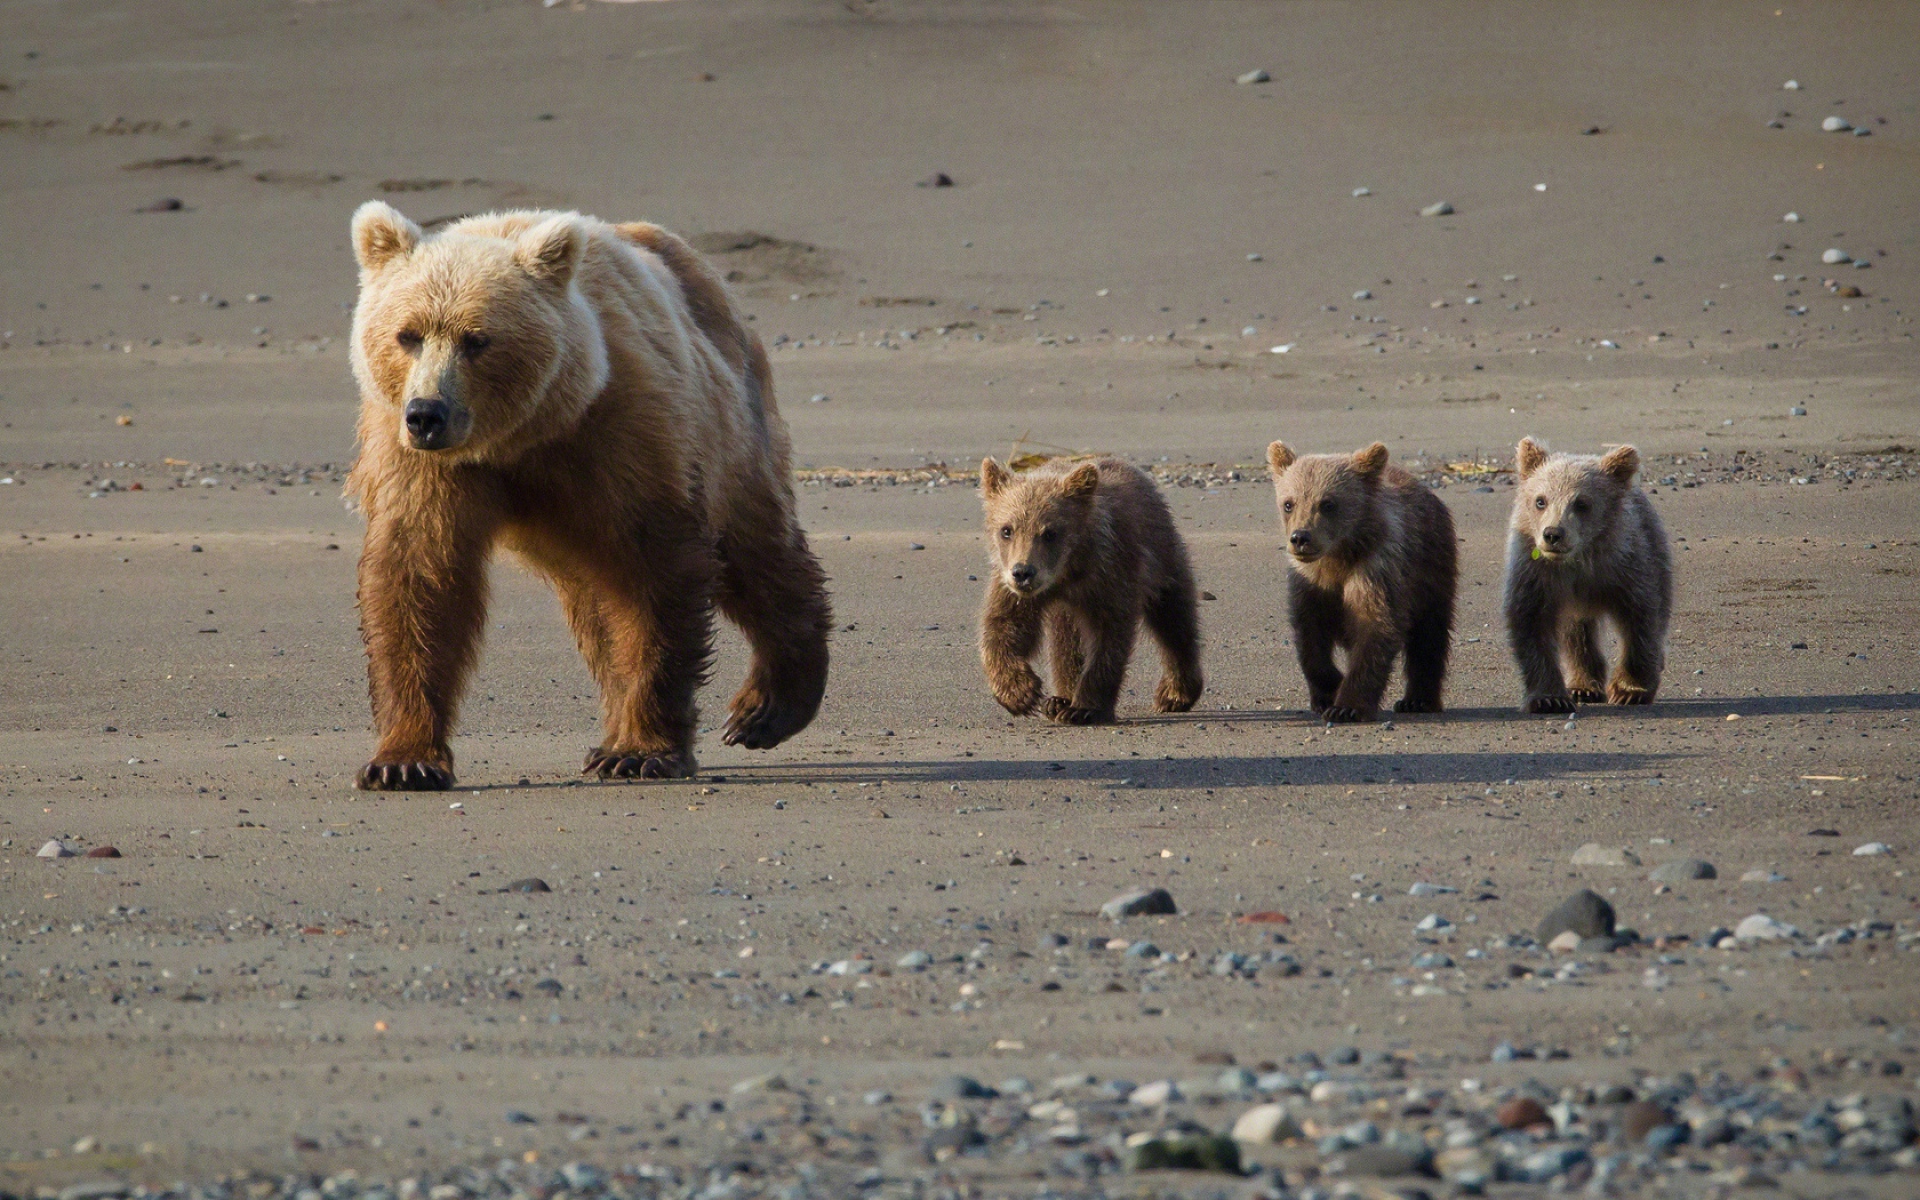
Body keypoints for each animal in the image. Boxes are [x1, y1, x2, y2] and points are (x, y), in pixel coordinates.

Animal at [345, 202, 832, 790]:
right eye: (408, 334)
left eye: (476, 339)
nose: (426, 414)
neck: (522, 436)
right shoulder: (421, 465)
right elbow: (420, 576)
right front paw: (403, 760)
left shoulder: (622, 433)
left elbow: (653, 576)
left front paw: (641, 751)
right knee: (600, 607)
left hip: (730, 424)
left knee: (754, 552)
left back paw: (765, 707)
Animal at [977, 456, 1203, 724]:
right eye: (1007, 530)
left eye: (1050, 532)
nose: (1023, 572)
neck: (1067, 572)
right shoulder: (1011, 586)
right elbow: (1005, 625)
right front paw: (1019, 692)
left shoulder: (1111, 574)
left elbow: (1108, 638)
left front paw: (1085, 708)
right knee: (1067, 640)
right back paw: (1059, 700)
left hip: (1162, 558)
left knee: (1174, 620)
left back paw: (1175, 693)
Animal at [1265, 441, 1458, 722]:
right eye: (1289, 503)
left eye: (1328, 503)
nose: (1300, 538)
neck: (1336, 559)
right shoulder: (1309, 584)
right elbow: (1309, 636)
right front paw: (1328, 691)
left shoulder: (1375, 570)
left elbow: (1374, 627)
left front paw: (1346, 706)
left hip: (1431, 570)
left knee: (1429, 635)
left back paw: (1418, 700)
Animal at [1503, 437, 1672, 712]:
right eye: (1540, 500)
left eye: (1581, 503)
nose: (1553, 534)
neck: (1578, 562)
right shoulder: (1536, 575)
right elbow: (1530, 623)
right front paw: (1549, 698)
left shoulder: (1625, 568)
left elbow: (1641, 619)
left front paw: (1629, 691)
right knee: (1576, 634)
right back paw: (1583, 687)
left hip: (1657, 550)